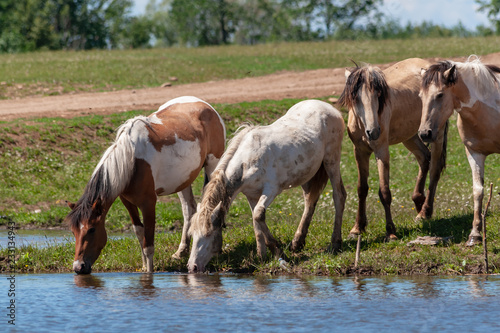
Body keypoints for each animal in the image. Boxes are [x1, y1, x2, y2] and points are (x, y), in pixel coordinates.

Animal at [65, 96, 226, 272]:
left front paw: (149, 272)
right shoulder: (127, 201)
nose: (78, 267)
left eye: (92, 229)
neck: (131, 159)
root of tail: (204, 104)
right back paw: (181, 251)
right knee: (188, 209)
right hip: (183, 181)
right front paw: (143, 266)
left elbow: (148, 243)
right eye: (73, 231)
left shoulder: (148, 203)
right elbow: (139, 232)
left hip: (213, 166)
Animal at [186, 99, 346, 272]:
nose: (192, 267)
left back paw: (335, 243)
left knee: (339, 196)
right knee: (310, 201)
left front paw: (277, 252)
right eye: (192, 235)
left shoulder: (271, 190)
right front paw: (261, 257)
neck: (246, 162)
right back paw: (297, 242)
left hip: (332, 160)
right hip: (308, 174)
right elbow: (256, 223)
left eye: (208, 234)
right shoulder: (250, 195)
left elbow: (258, 214)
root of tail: (328, 107)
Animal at [338, 58, 448, 240]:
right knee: (424, 158)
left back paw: (425, 212)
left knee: (434, 169)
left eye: (378, 96)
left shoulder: (381, 151)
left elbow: (384, 192)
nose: (373, 132)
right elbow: (362, 189)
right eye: (356, 98)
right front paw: (357, 228)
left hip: (435, 134)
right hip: (410, 136)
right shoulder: (360, 152)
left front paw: (390, 231)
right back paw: (418, 201)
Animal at [418, 55, 500, 245]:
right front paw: (475, 234)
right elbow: (478, 191)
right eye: (420, 96)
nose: (424, 133)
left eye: (440, 94)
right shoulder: (474, 154)